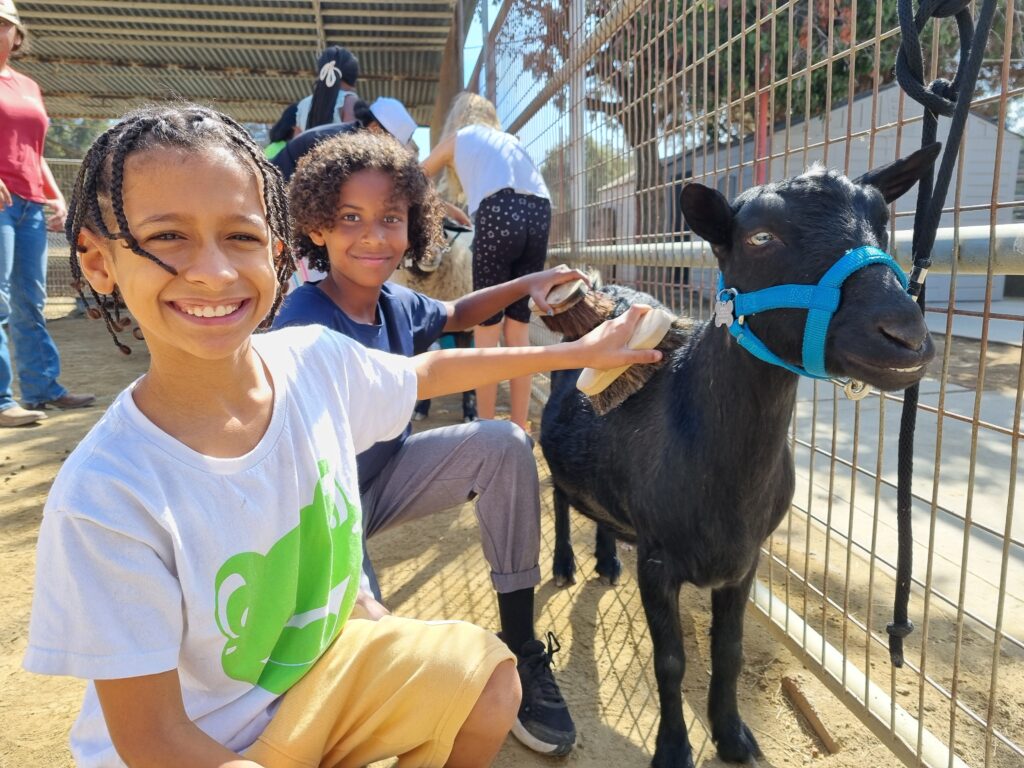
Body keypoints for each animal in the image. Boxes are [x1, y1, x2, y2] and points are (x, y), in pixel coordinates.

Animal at [540, 145, 937, 768]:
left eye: (884, 219)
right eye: (760, 237)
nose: (904, 335)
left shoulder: (746, 560)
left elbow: (729, 651)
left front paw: (732, 736)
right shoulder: (659, 560)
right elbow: (670, 662)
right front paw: (673, 749)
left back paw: (605, 559)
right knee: (559, 493)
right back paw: (564, 562)